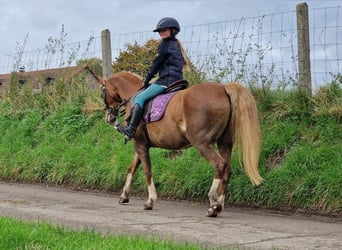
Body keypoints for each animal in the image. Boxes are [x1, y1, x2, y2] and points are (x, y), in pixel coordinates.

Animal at [98, 71, 262, 217]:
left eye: (102, 94)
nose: (109, 117)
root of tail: (223, 88)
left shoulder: (140, 145)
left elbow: (147, 171)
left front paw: (150, 201)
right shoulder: (141, 145)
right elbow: (132, 168)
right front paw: (124, 195)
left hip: (202, 143)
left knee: (220, 165)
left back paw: (213, 202)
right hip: (224, 143)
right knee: (227, 169)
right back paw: (218, 205)